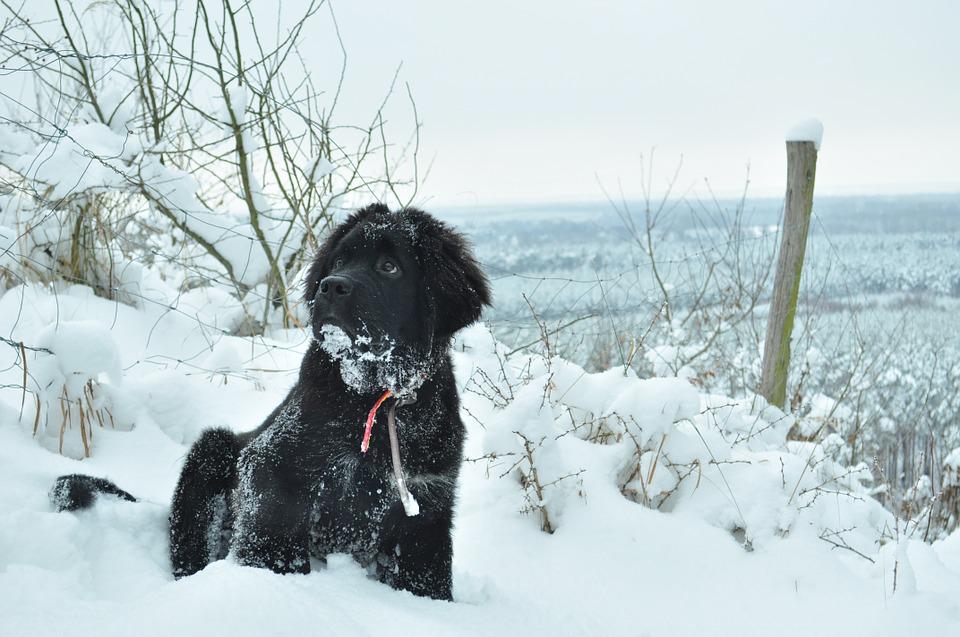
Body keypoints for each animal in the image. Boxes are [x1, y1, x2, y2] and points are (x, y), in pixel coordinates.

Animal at [51, 205, 488, 600]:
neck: (373, 398)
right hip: (210, 453)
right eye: (340, 260)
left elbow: (427, 575)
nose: (331, 286)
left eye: (389, 267)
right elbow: (273, 538)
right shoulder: (273, 465)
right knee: (189, 546)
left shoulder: (427, 503)